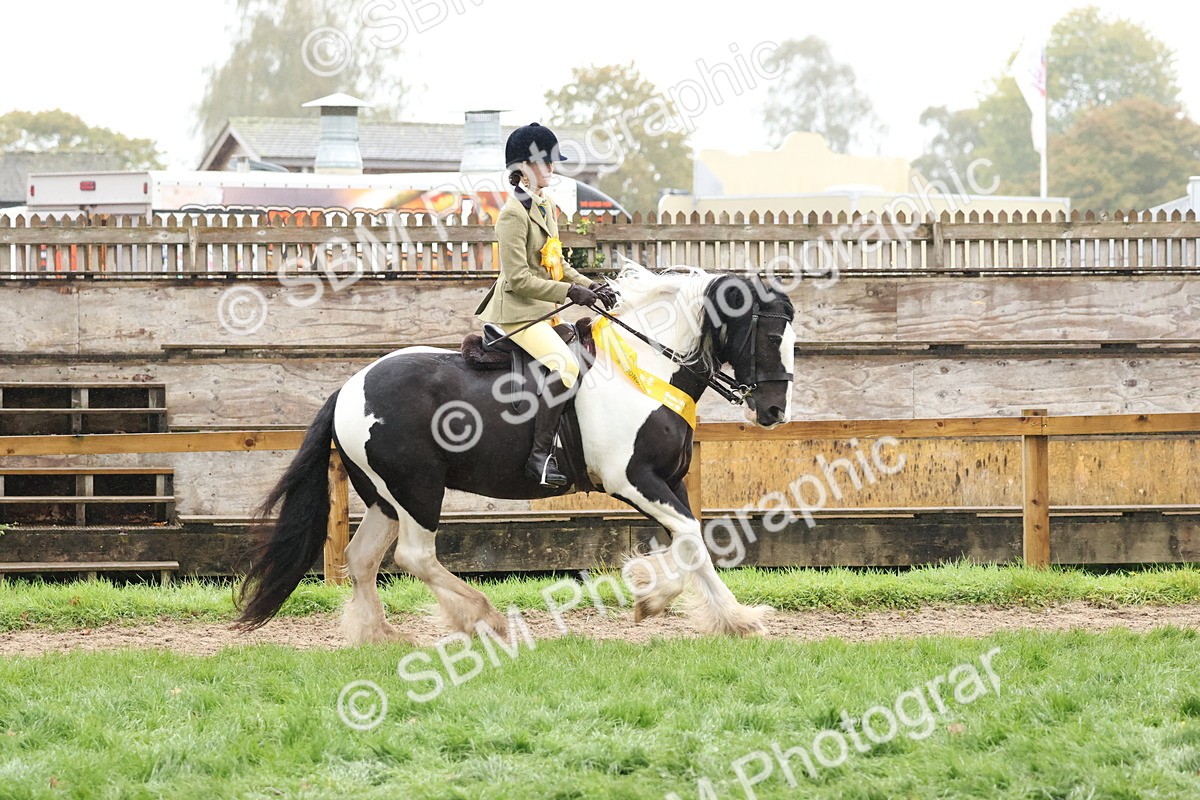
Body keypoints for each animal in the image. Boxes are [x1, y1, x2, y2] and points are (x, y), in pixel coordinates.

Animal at [234, 261, 796, 642]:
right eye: (771, 333)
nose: (774, 410)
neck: (644, 364)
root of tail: (348, 389)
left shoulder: (669, 481)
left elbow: (692, 541)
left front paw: (734, 618)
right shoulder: (634, 480)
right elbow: (690, 538)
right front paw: (650, 596)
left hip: (384, 498)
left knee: (362, 557)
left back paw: (381, 635)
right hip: (418, 489)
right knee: (414, 556)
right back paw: (483, 617)